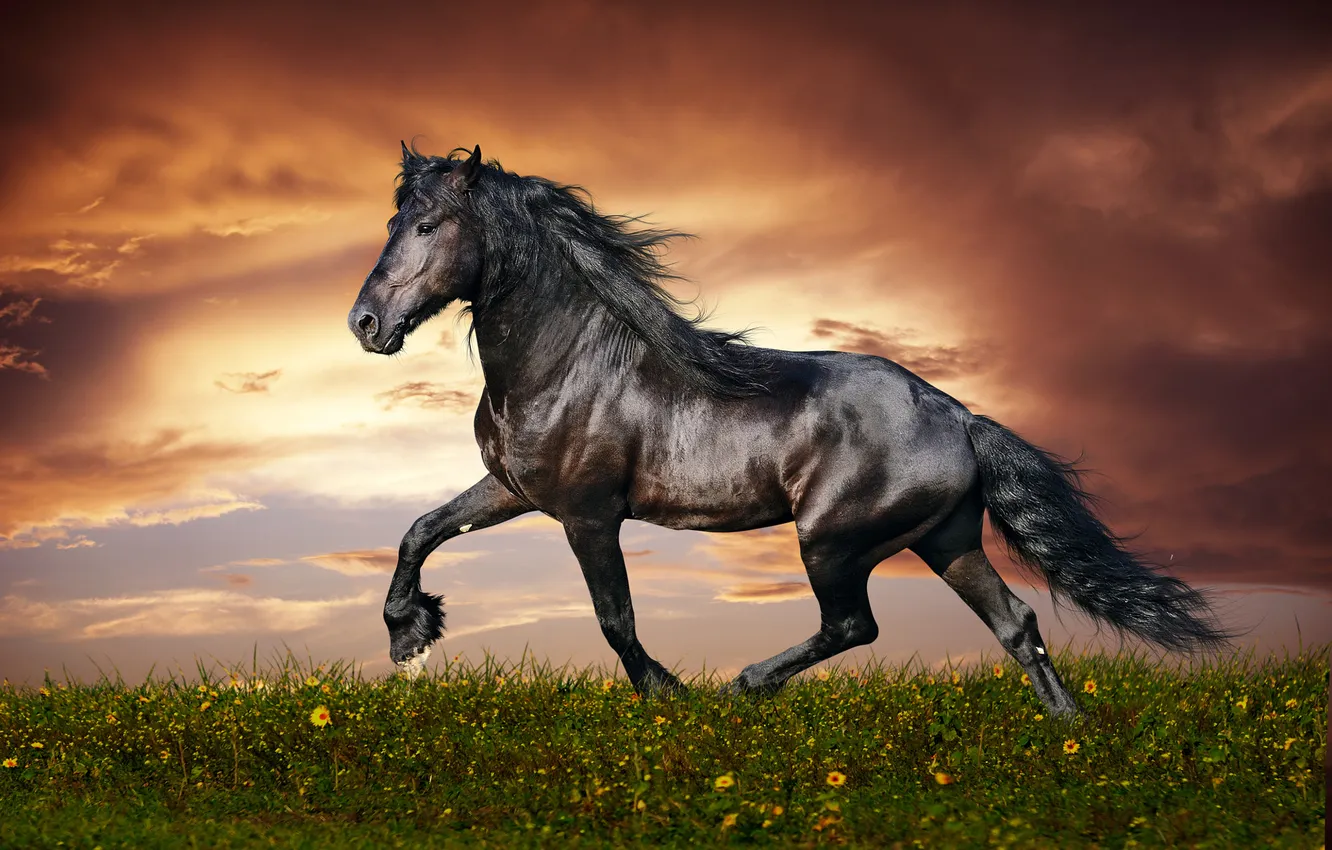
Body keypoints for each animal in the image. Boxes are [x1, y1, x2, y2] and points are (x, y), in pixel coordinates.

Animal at [347, 143, 1234, 715]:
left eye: (428, 226)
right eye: (393, 222)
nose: (365, 324)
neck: (567, 362)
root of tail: (959, 416)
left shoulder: (588, 514)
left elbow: (615, 619)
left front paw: (669, 697)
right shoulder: (514, 489)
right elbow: (420, 530)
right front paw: (409, 635)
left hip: (833, 540)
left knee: (854, 625)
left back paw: (744, 686)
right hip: (945, 538)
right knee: (1016, 625)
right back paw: (1069, 736)